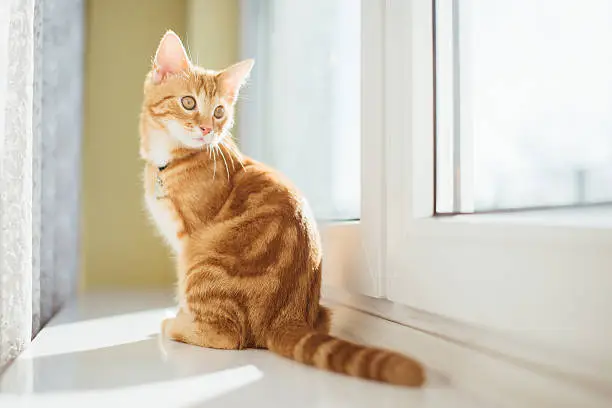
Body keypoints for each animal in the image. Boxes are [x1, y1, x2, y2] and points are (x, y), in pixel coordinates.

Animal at [139, 30, 426, 388]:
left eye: (218, 112)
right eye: (188, 102)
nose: (207, 129)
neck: (171, 160)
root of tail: (286, 316)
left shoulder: (187, 242)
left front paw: (179, 314)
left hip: (204, 261)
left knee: (227, 335)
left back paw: (174, 325)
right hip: (320, 311)